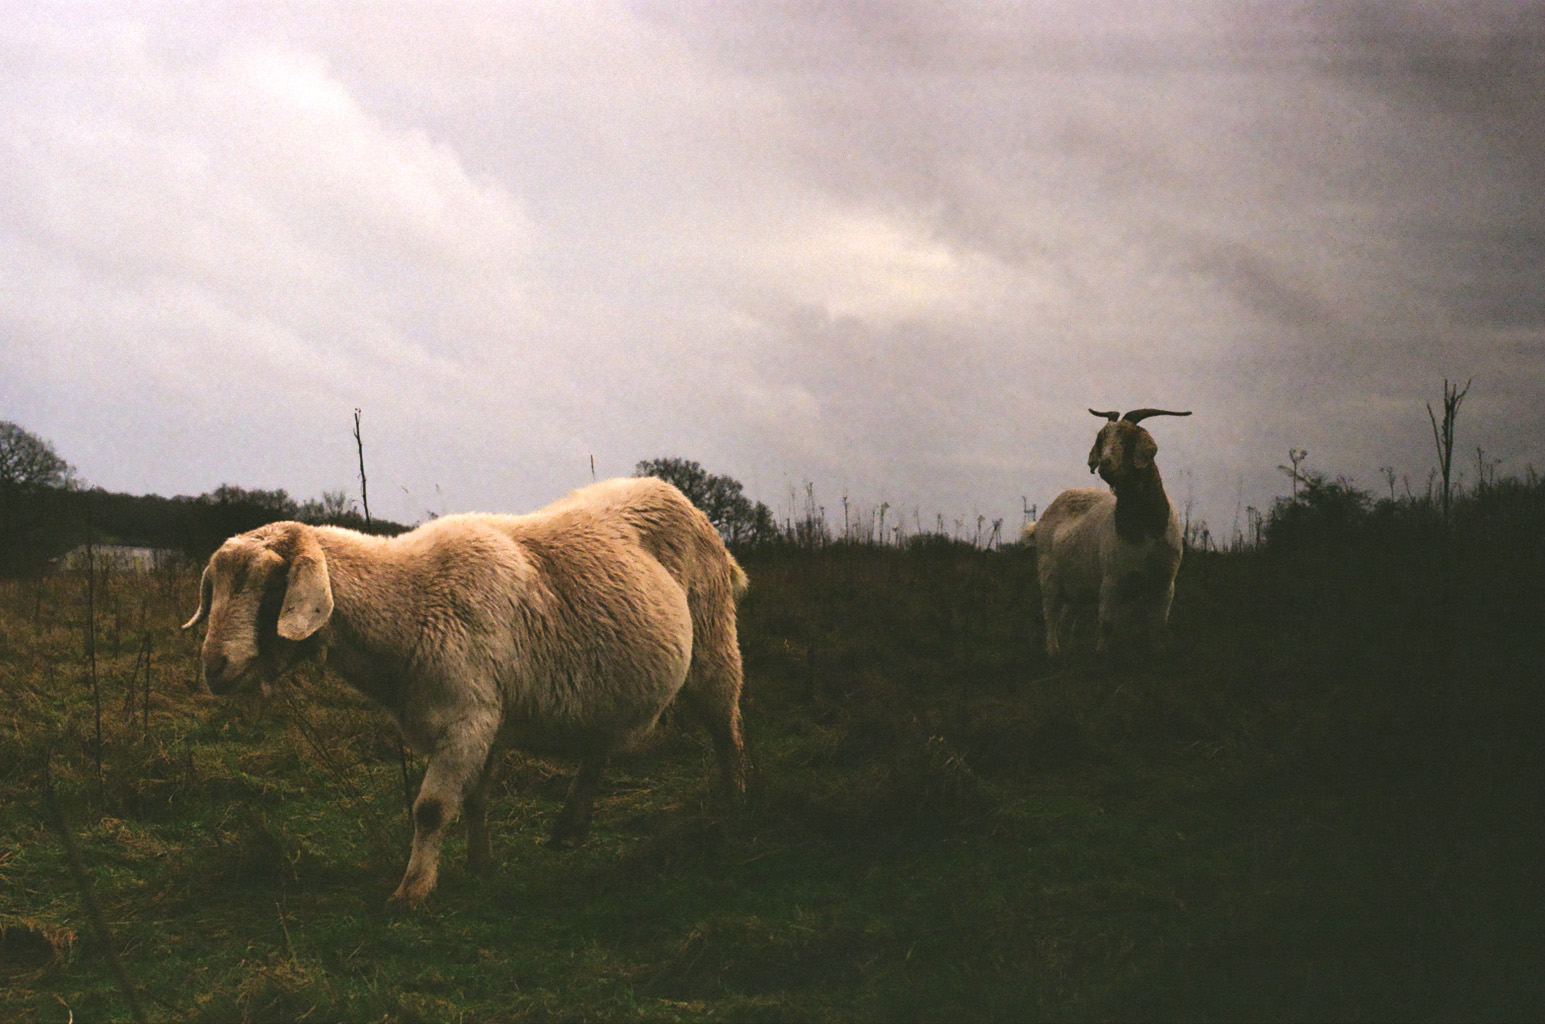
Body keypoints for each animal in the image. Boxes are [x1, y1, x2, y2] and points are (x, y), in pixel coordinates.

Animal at [182, 476, 749, 906]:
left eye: (272, 588)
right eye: (216, 586)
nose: (215, 667)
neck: (407, 602)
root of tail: (676, 493)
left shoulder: (468, 717)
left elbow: (432, 808)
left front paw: (412, 892)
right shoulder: (488, 716)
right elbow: (477, 796)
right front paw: (479, 865)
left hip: (715, 641)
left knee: (727, 728)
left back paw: (735, 804)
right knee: (600, 747)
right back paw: (570, 826)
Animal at [1025, 408, 1191, 656]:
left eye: (1128, 438)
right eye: (1102, 438)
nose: (1105, 465)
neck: (1145, 529)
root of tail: (1040, 522)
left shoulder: (1165, 582)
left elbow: (1158, 627)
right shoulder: (1113, 577)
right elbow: (1107, 624)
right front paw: (1101, 655)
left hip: (1076, 585)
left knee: (1067, 616)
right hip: (1049, 576)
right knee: (1051, 615)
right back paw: (1053, 650)